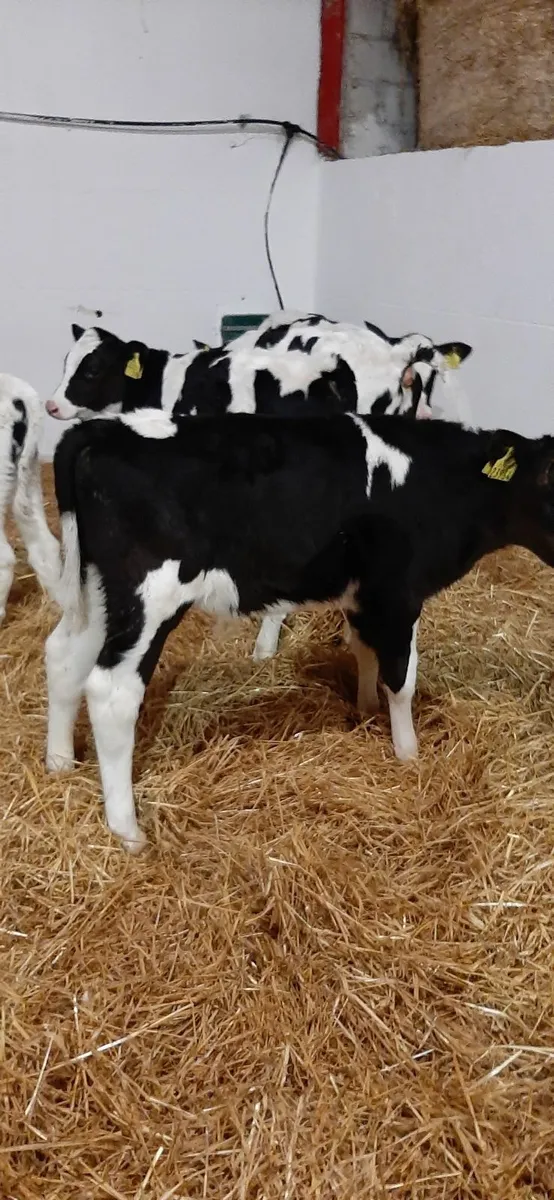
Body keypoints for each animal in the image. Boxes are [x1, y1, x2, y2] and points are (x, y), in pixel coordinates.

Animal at [46, 405, 553, 851]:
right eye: (549, 482)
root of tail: (102, 428)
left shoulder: (361, 594)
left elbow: (363, 651)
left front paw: (366, 709)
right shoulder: (399, 593)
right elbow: (401, 678)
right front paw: (408, 754)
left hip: (97, 593)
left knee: (64, 656)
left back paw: (59, 764)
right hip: (152, 596)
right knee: (112, 691)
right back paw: (127, 831)